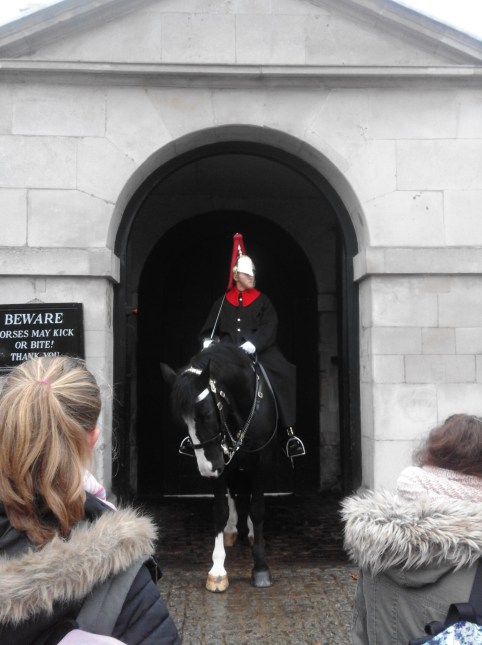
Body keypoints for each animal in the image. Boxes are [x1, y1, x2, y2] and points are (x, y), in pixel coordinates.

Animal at [161, 342, 278, 592]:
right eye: (182, 421)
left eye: (206, 413)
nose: (206, 469)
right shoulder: (221, 461)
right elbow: (220, 510)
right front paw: (217, 570)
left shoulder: (262, 462)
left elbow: (258, 508)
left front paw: (261, 567)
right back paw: (233, 529)